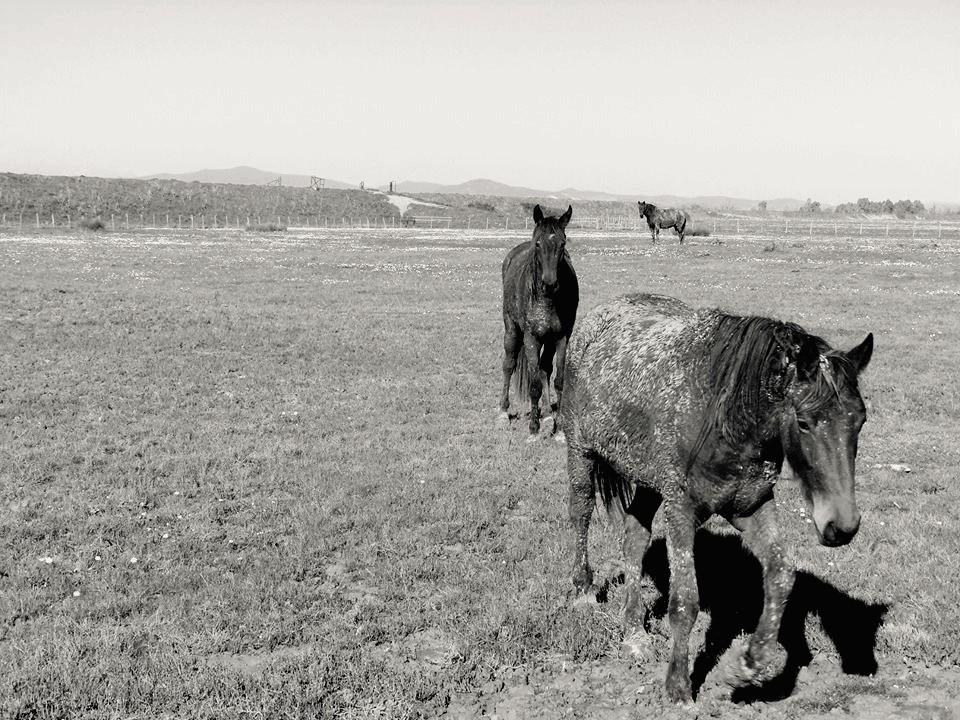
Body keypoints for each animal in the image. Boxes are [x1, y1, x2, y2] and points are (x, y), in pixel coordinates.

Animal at [498, 205, 580, 436]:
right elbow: (533, 384)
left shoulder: (561, 337)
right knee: (509, 365)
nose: (549, 284)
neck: (548, 301)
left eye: (563, 243)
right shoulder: (531, 338)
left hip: (549, 340)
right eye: (538, 243)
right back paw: (503, 412)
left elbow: (558, 380)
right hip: (512, 331)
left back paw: (548, 414)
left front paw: (559, 427)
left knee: (545, 370)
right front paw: (533, 428)